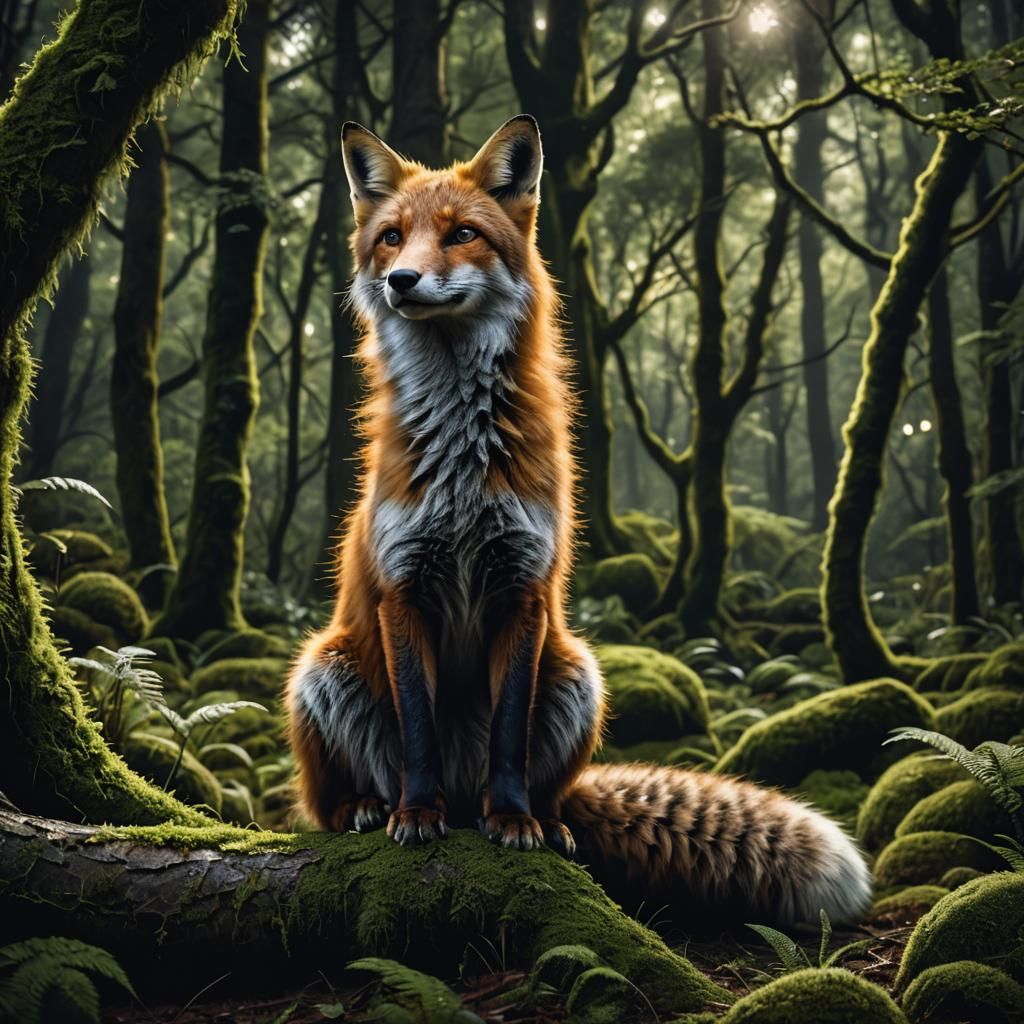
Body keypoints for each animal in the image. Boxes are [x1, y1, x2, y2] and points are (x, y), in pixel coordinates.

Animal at [285, 115, 873, 925]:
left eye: (462, 234)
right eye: (392, 238)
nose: (402, 281)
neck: (463, 460)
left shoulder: (524, 586)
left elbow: (508, 733)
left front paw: (513, 823)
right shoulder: (404, 589)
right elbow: (418, 732)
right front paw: (416, 814)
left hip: (578, 673)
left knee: (545, 785)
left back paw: (542, 818)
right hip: (324, 664)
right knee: (325, 800)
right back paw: (370, 808)